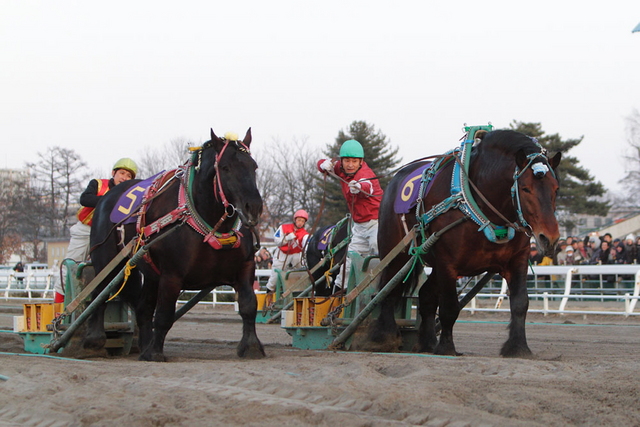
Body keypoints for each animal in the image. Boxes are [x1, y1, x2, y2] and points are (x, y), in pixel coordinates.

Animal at [85, 130, 264, 362]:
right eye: (225, 167)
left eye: (253, 166)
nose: (254, 207)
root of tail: (107, 197)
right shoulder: (171, 275)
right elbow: (163, 314)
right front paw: (155, 351)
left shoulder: (245, 266)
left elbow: (249, 305)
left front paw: (251, 346)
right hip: (105, 260)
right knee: (99, 292)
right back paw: (94, 339)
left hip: (150, 272)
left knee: (143, 308)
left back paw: (144, 344)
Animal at [370, 130, 560, 358]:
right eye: (525, 188)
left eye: (556, 188)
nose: (549, 237)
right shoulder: (447, 263)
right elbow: (449, 307)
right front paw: (446, 347)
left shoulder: (518, 259)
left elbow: (520, 303)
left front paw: (518, 347)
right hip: (395, 253)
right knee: (388, 291)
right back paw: (385, 337)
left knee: (425, 296)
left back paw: (427, 342)